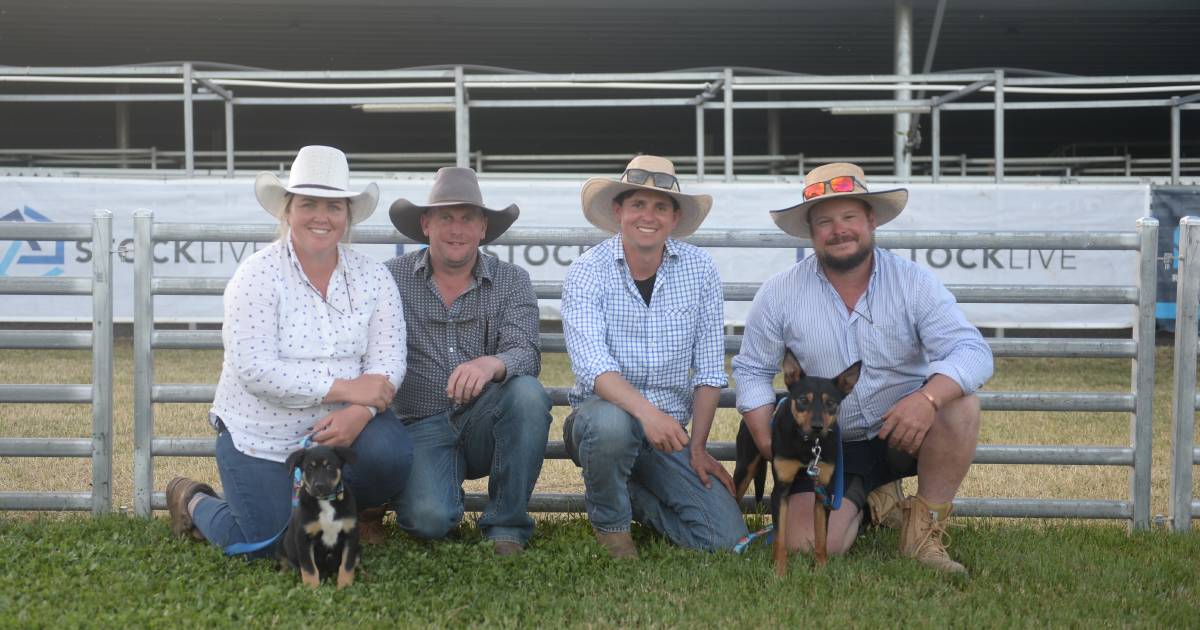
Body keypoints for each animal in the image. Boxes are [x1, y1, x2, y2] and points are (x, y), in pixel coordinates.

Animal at [277, 444, 360, 588]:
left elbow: (347, 565)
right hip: (282, 543)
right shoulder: (303, 538)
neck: (325, 501)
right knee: (285, 562)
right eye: (310, 468)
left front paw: (344, 586)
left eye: (329, 466)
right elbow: (309, 568)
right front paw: (311, 589)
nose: (319, 486)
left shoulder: (351, 535)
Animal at [724, 348, 859, 573]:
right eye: (803, 399)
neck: (808, 445)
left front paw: (821, 569)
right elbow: (780, 538)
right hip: (745, 466)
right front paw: (780, 572)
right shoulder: (781, 489)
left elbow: (822, 537)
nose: (817, 426)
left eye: (831, 403)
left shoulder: (823, 491)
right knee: (734, 495)